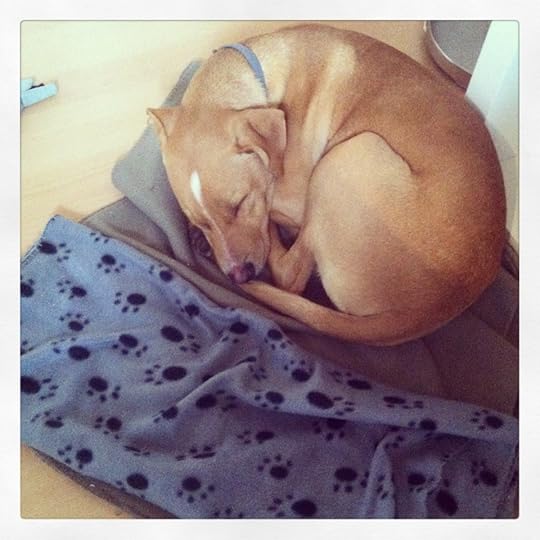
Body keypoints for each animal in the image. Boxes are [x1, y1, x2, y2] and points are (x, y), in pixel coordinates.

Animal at [147, 24, 506, 345]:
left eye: (241, 203)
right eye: (201, 220)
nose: (239, 275)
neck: (257, 74)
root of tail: (430, 310)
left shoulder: (293, 197)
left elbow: (272, 213)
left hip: (345, 159)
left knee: (289, 276)